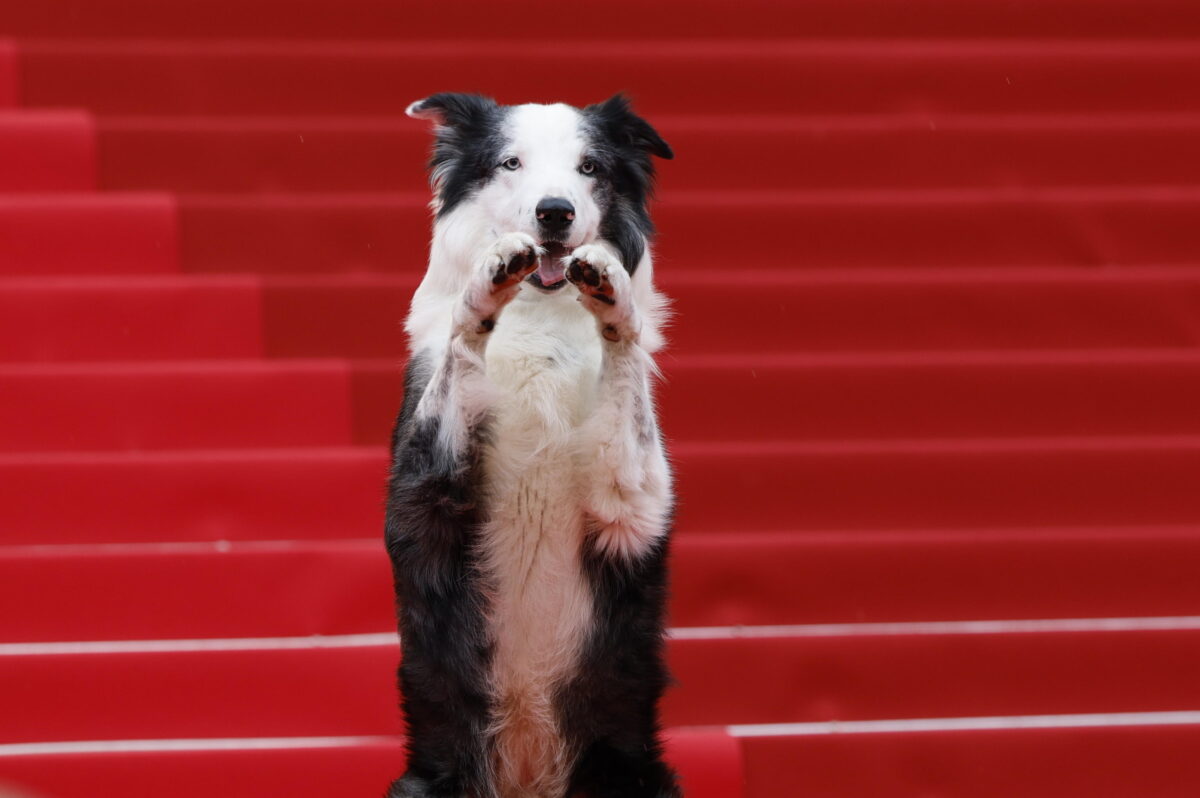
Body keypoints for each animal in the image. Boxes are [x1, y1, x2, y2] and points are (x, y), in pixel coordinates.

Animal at [386, 94, 681, 796]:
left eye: (590, 166)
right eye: (510, 162)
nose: (555, 212)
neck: (541, 319)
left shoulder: (632, 503)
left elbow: (625, 367)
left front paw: (615, 301)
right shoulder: (427, 481)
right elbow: (461, 345)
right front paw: (482, 292)